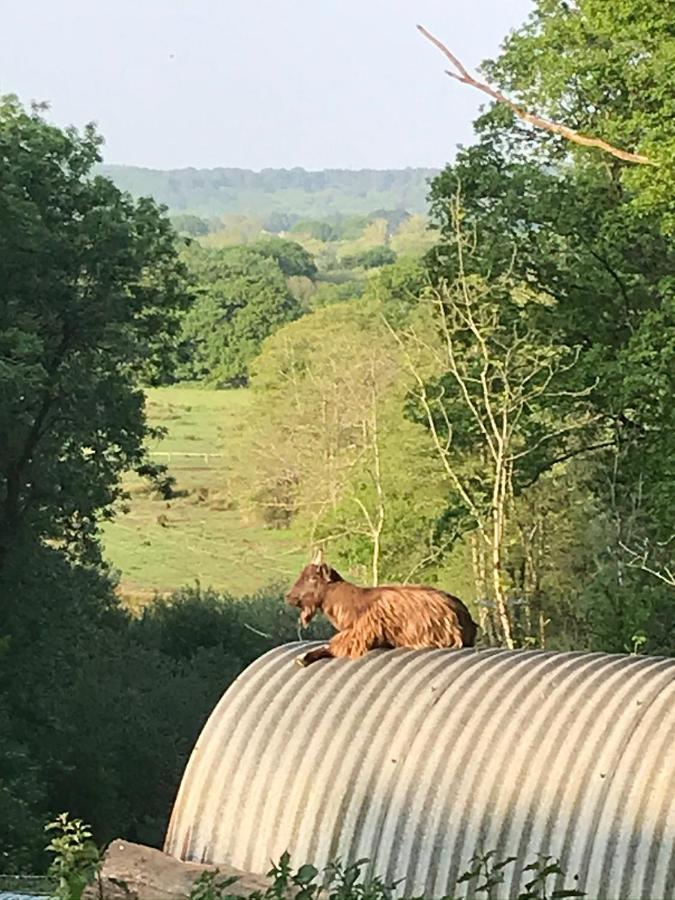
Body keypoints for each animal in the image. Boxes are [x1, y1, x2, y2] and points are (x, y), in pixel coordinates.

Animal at [288, 552, 478, 672]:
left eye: (312, 578)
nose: (289, 596)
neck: (355, 603)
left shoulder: (360, 637)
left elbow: (332, 645)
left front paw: (303, 658)